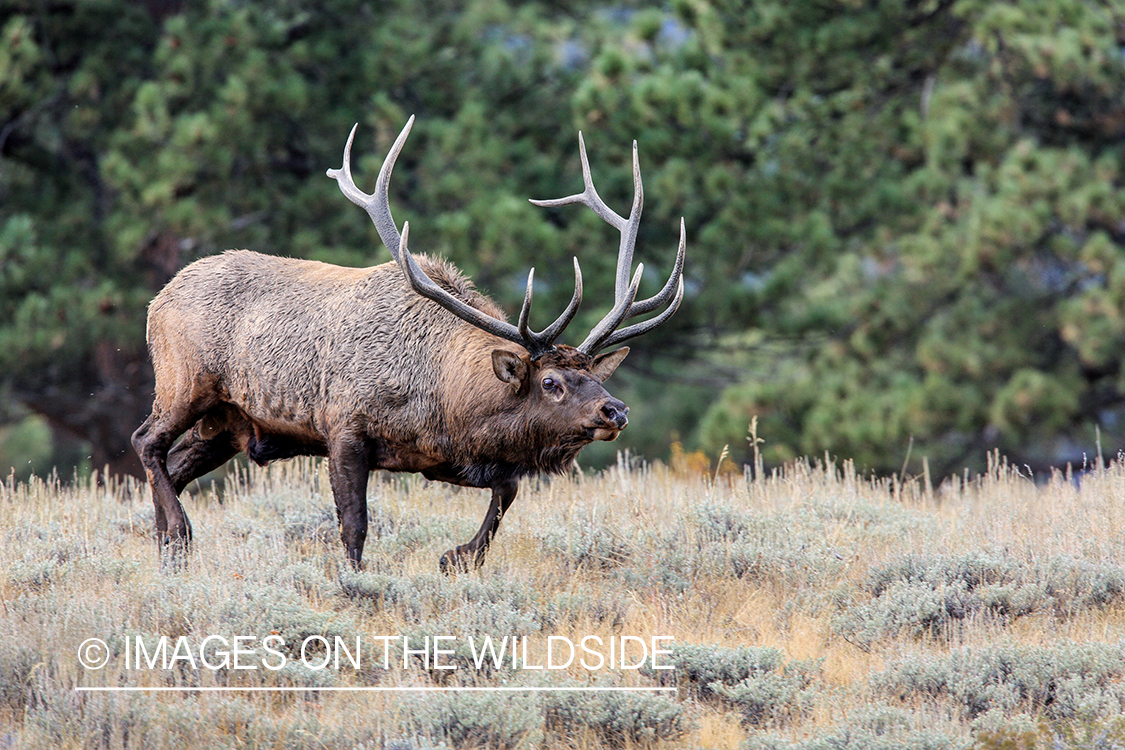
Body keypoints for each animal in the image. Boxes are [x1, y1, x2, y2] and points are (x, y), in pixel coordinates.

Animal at [127, 117, 679, 571]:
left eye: (591, 375)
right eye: (551, 382)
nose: (615, 410)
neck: (444, 400)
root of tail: (158, 299)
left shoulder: (447, 456)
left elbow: (507, 490)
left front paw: (457, 556)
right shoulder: (344, 427)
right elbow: (354, 525)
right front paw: (355, 583)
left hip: (227, 424)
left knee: (175, 467)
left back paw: (165, 547)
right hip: (185, 382)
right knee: (146, 441)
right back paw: (178, 534)